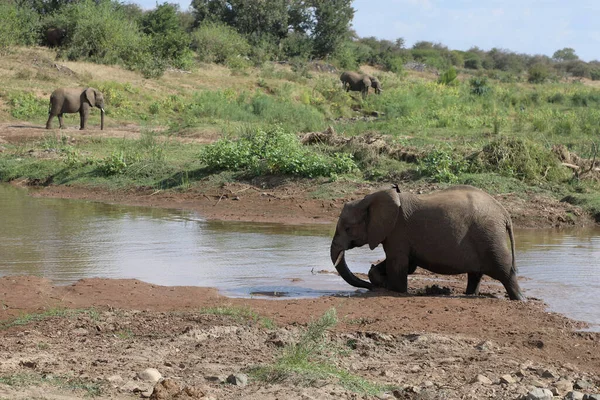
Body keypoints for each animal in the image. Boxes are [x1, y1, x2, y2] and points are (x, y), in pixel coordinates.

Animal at [330, 184, 524, 300]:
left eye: (348, 228)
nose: (369, 288)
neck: (370, 199)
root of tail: (504, 213)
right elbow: (408, 264)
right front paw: (380, 280)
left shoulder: (397, 231)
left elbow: (398, 263)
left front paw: (393, 289)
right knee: (475, 274)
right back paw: (471, 295)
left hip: (490, 236)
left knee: (504, 270)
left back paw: (519, 299)